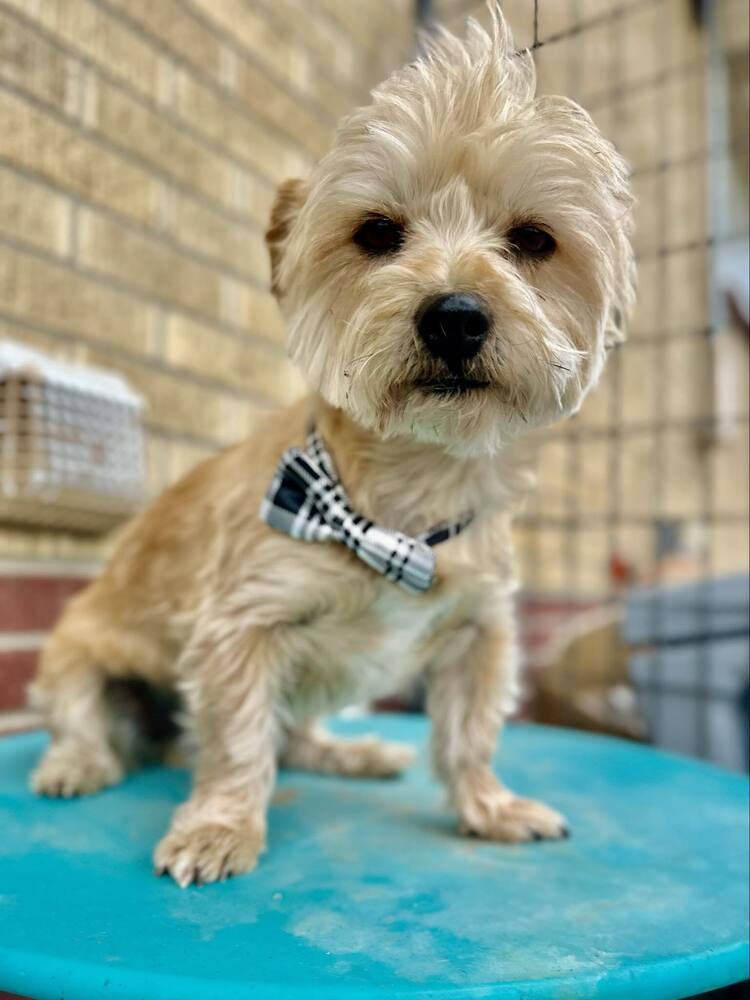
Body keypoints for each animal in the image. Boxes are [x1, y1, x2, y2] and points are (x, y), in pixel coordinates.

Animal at [27, 11, 636, 888]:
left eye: (533, 239)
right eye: (377, 233)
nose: (455, 316)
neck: (406, 500)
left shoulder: (481, 630)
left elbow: (469, 734)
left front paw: (489, 806)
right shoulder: (242, 625)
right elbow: (239, 743)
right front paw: (220, 827)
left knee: (298, 737)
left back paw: (351, 754)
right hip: (77, 653)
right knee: (85, 721)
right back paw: (76, 763)